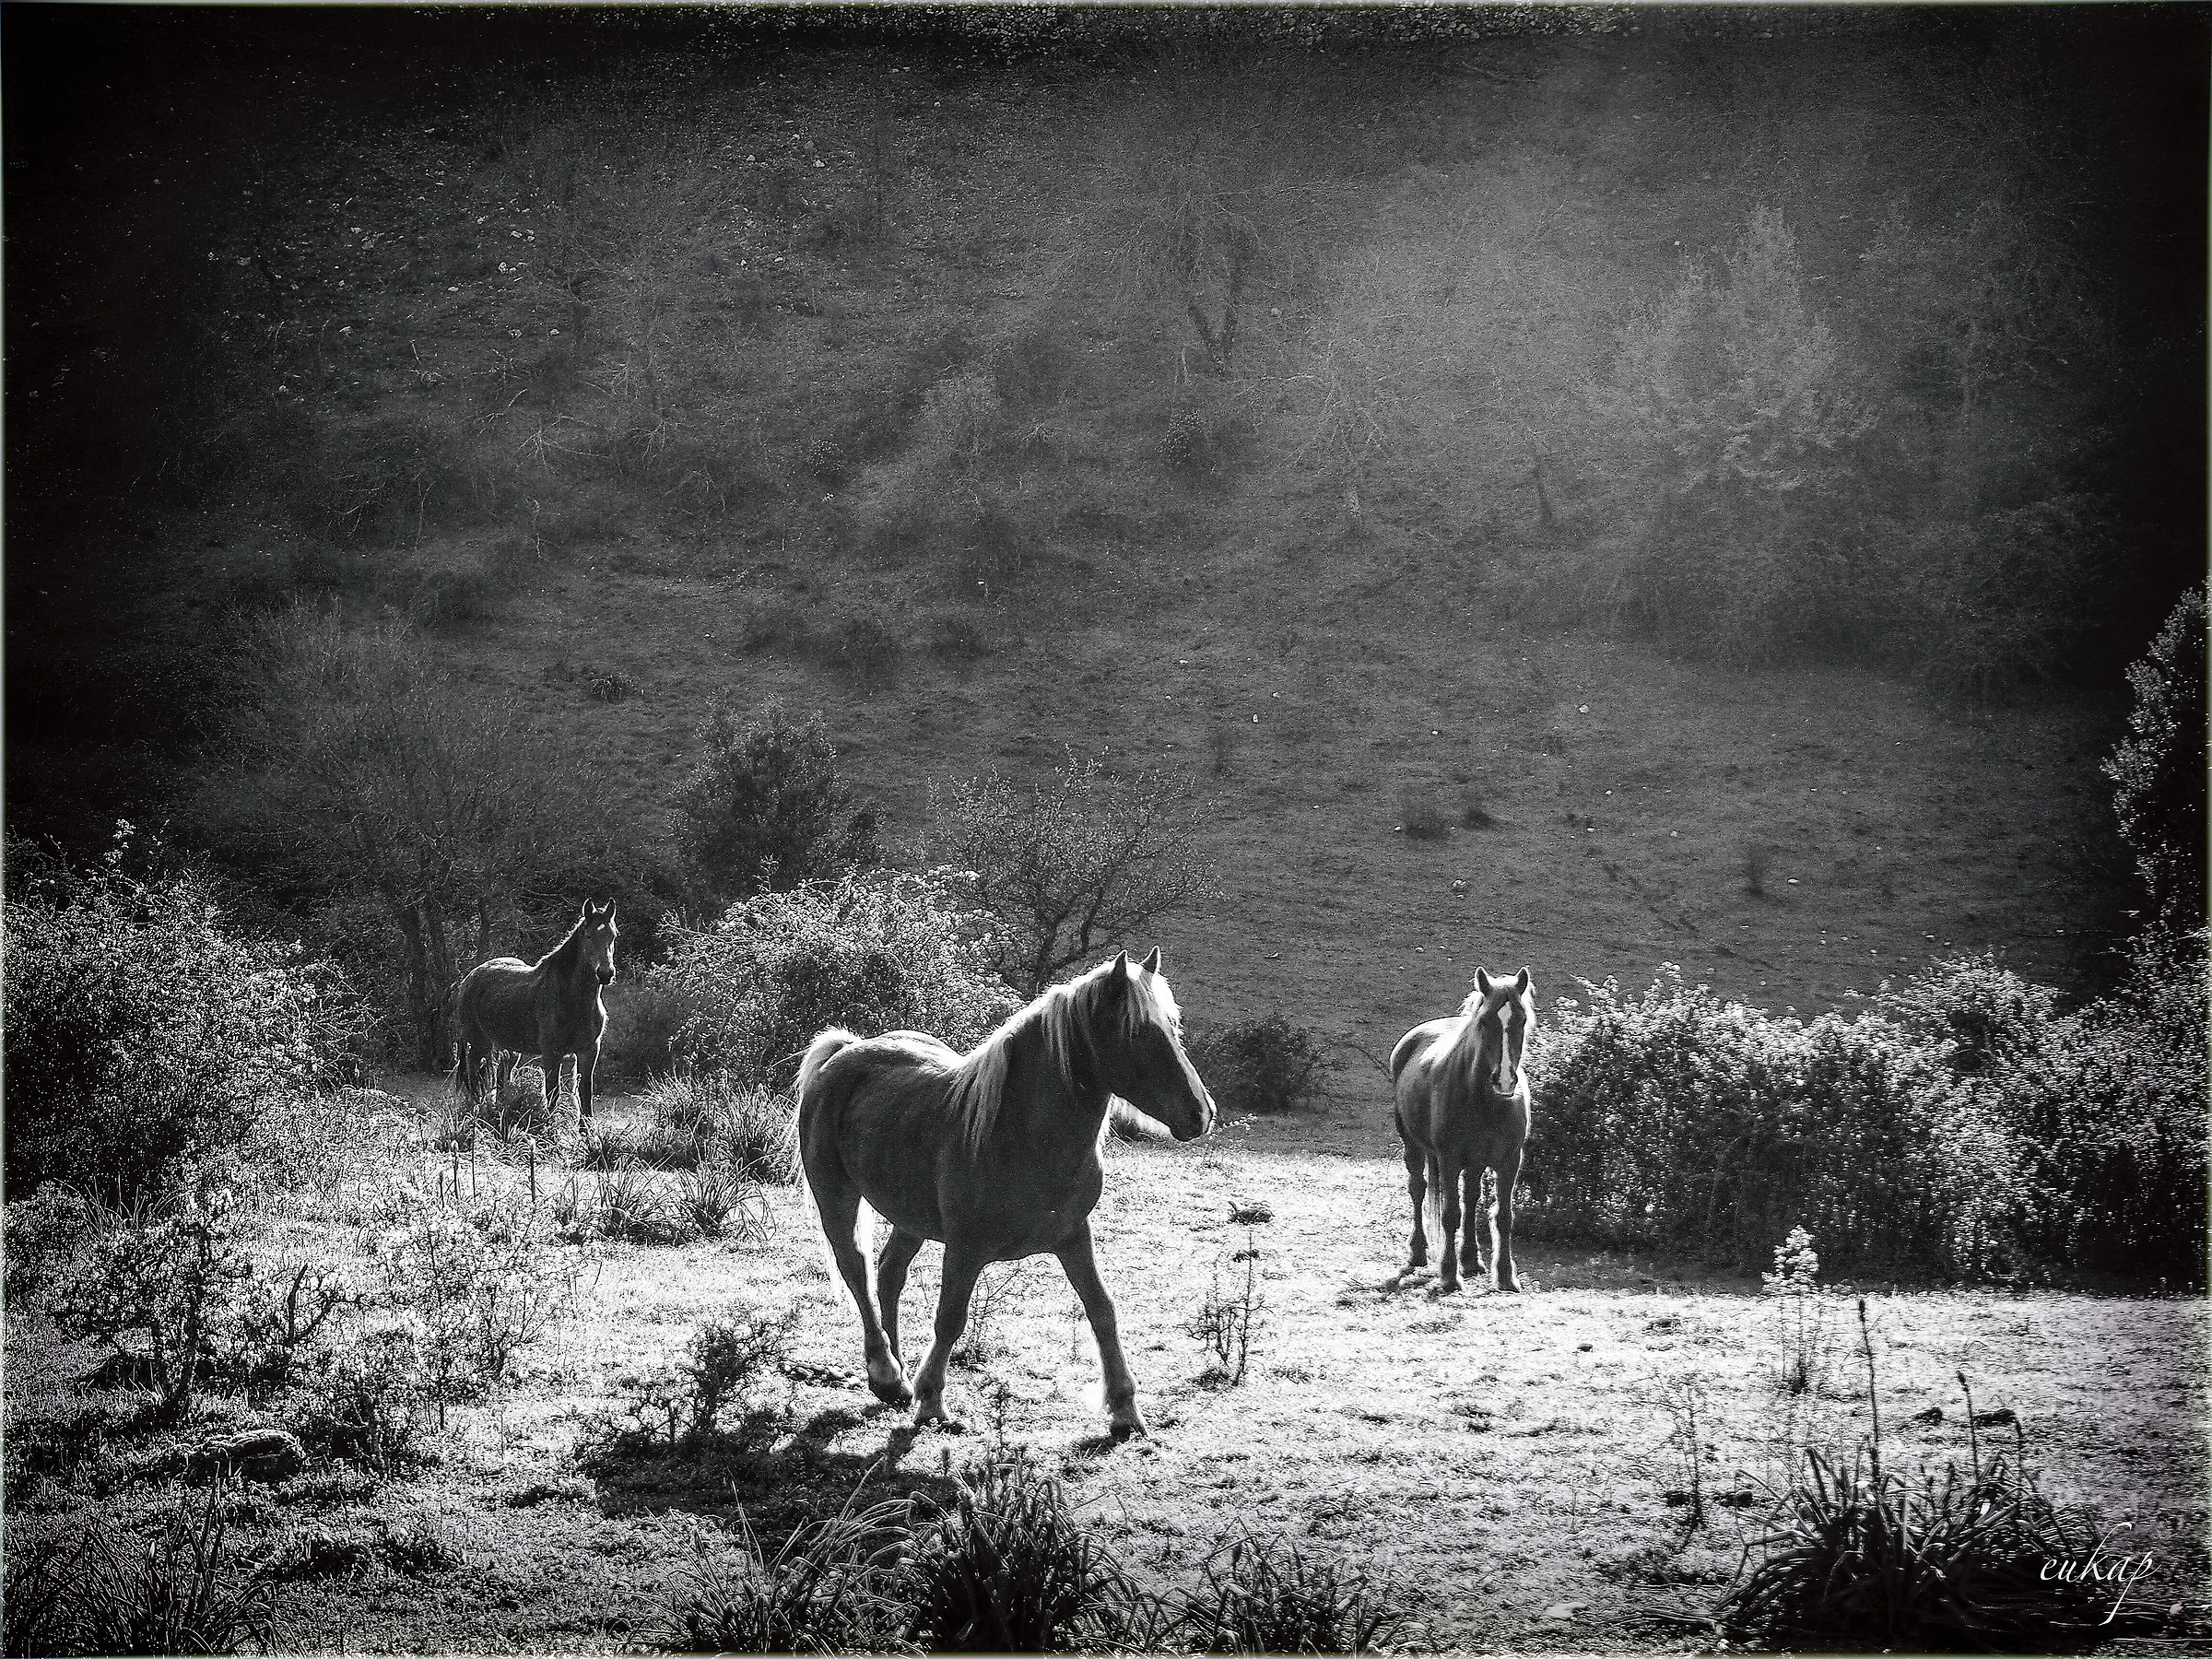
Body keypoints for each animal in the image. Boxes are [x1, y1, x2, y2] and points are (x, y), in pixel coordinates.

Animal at [453, 900, 620, 1123]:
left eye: (613, 935)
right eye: (589, 935)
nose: (605, 973)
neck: (572, 1000)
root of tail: (470, 978)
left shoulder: (589, 1050)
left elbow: (585, 1094)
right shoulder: (551, 1053)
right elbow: (553, 1093)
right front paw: (550, 1128)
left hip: (510, 1048)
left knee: (501, 1077)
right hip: (480, 1044)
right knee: (475, 1076)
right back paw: (477, 1112)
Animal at [795, 948, 1214, 1438]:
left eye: (1172, 1025)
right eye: (1135, 1032)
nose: (1200, 1113)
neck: (1018, 1134)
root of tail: (845, 1052)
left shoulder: (1073, 1237)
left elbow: (1102, 1310)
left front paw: (1125, 1410)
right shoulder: (966, 1247)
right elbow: (950, 1318)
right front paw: (931, 1401)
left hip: (910, 1217)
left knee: (889, 1273)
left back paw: (896, 1378)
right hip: (836, 1198)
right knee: (857, 1270)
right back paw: (885, 1373)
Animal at [1391, 966, 1536, 1294]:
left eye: (1521, 1020)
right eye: (1484, 1021)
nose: (1504, 1080)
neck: (1486, 1101)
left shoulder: (1510, 1160)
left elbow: (1503, 1216)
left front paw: (1506, 1276)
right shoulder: (1449, 1158)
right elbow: (1449, 1214)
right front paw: (1448, 1275)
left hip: (1476, 1161)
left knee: (1470, 1198)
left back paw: (1471, 1260)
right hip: (1414, 1146)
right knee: (1418, 1189)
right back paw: (1419, 1252)